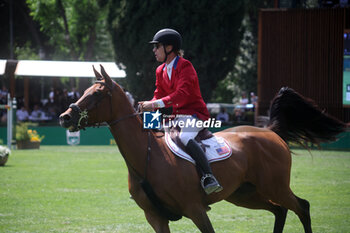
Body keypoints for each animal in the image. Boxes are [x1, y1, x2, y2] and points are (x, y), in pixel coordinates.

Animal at [59, 64, 348, 232]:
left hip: (274, 186)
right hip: (245, 194)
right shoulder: (156, 217)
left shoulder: (195, 209)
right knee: (280, 210)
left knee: (302, 207)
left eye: (96, 94)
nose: (64, 117)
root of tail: (269, 131)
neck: (147, 157)